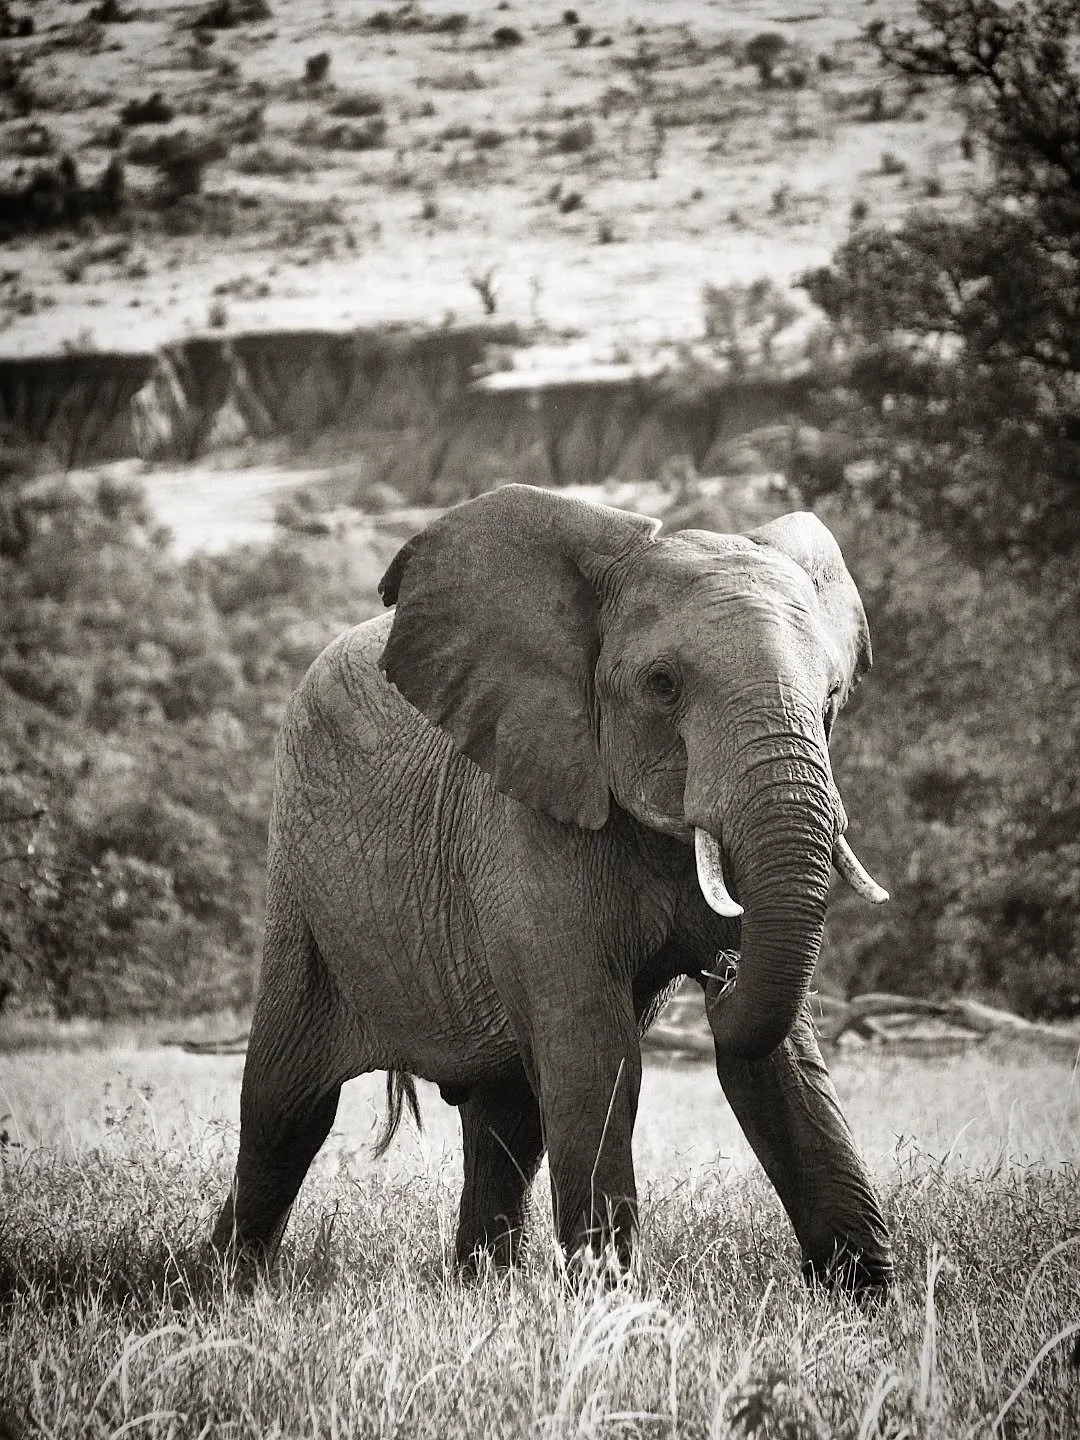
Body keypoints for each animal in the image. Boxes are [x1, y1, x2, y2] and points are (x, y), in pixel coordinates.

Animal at [211, 483, 895, 1293]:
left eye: (831, 698)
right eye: (664, 686)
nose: (720, 975)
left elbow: (778, 1066)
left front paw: (871, 1300)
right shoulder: (527, 821)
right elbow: (593, 1053)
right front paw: (614, 1305)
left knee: (503, 1120)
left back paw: (481, 1291)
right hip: (301, 889)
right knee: (285, 1107)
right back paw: (223, 1288)